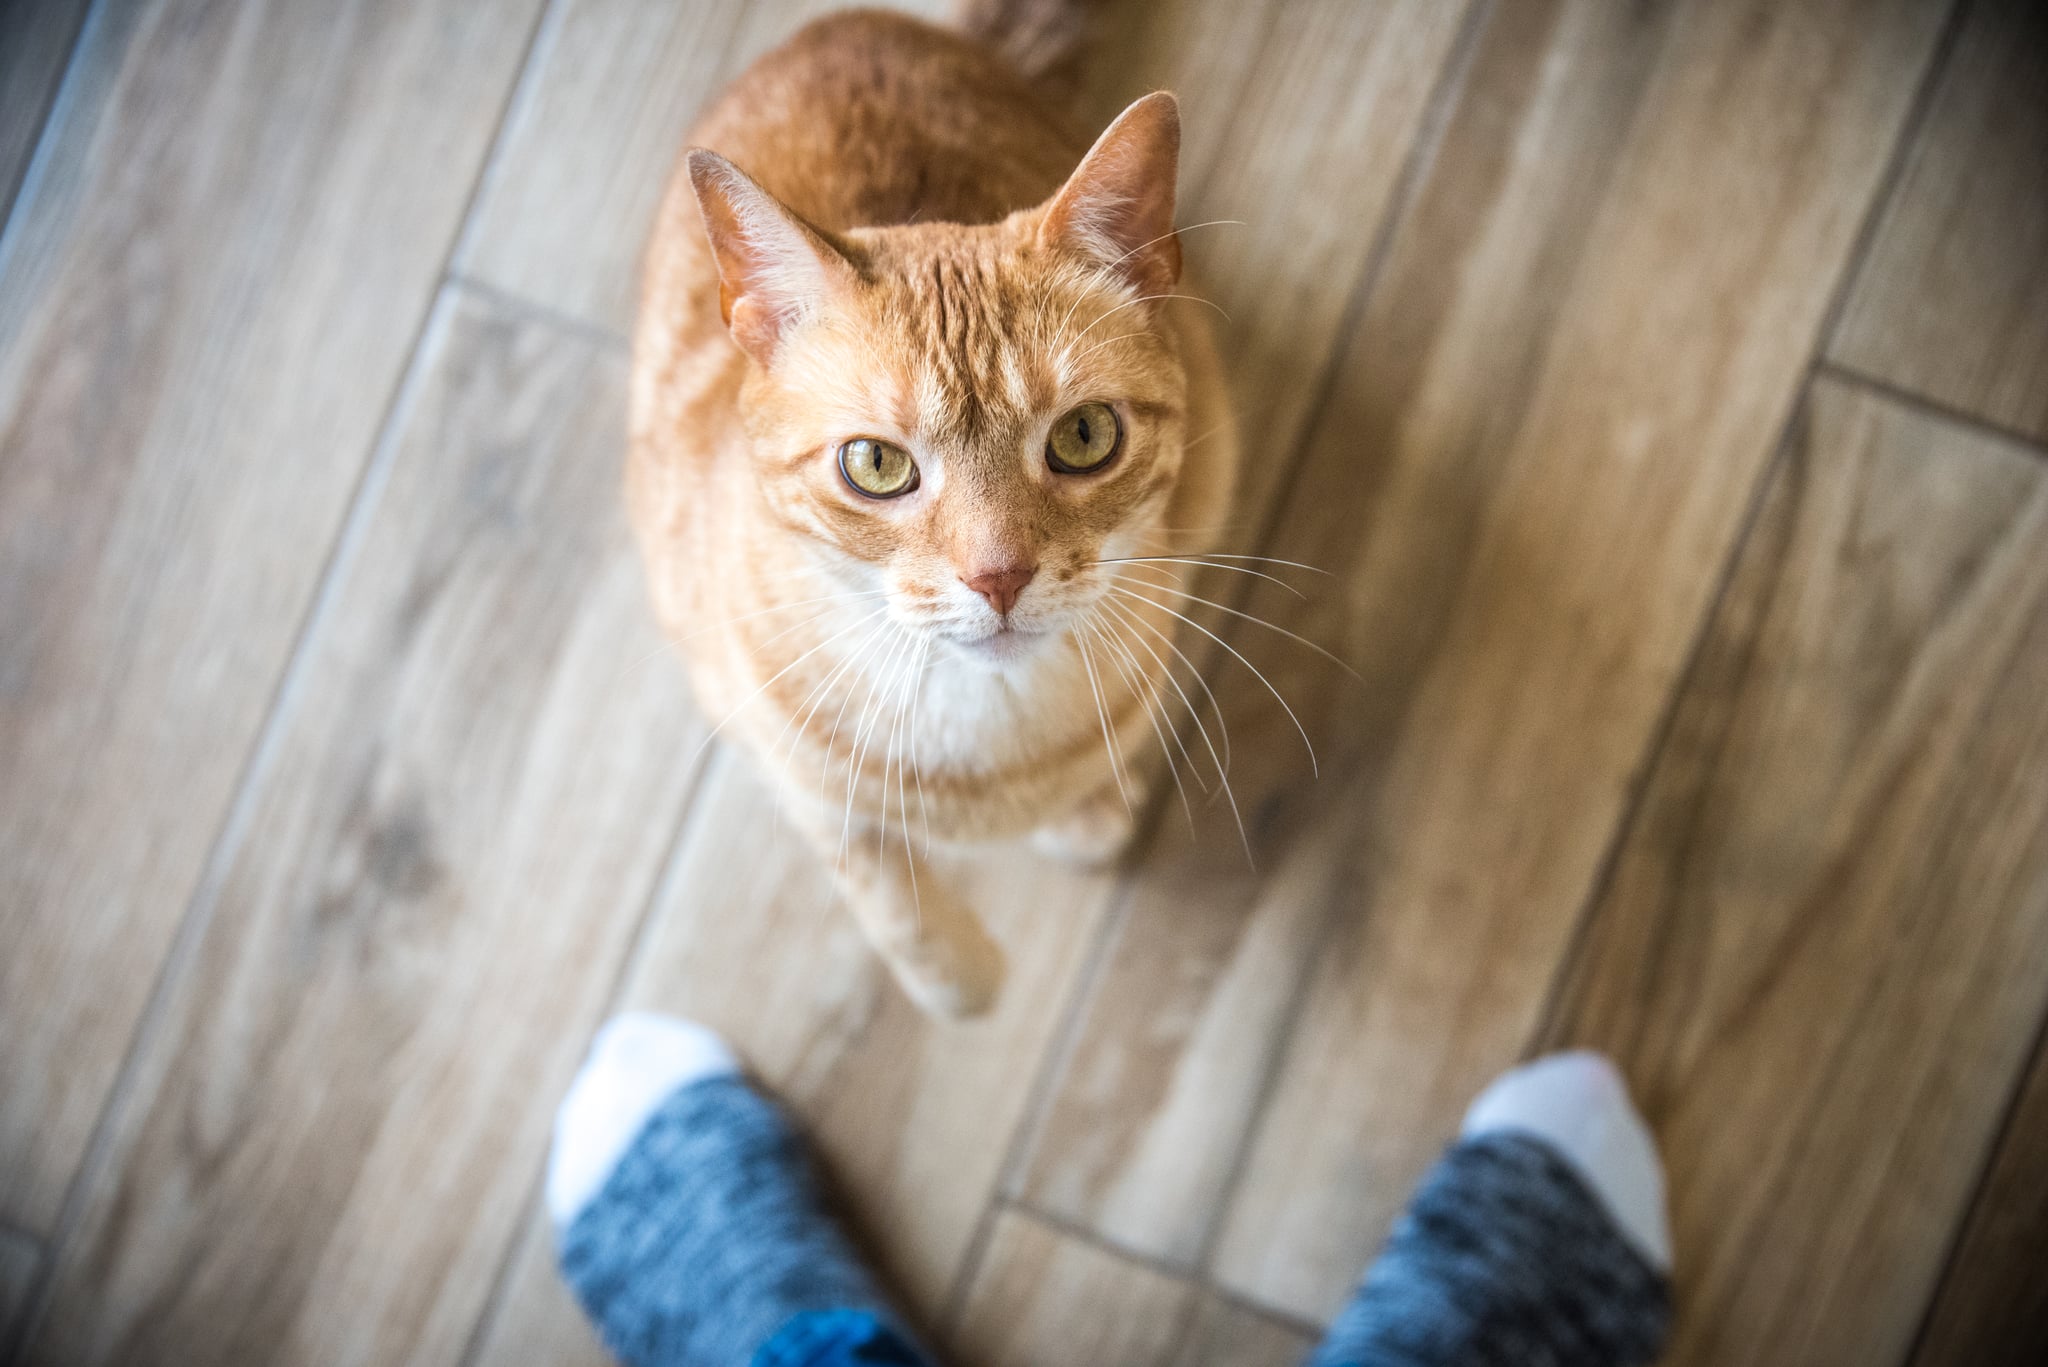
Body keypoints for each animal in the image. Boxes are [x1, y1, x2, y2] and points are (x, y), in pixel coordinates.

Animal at [626, 2, 1228, 1016]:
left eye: (1084, 436)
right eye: (876, 464)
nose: (1000, 575)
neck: (978, 731)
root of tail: (854, 24)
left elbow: (1088, 786)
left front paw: (1088, 815)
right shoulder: (773, 747)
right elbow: (881, 887)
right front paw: (959, 972)